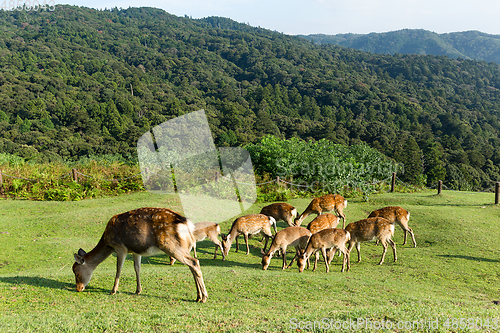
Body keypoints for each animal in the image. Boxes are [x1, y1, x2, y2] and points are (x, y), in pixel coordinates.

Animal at [71, 206, 208, 302]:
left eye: (76, 273)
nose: (78, 288)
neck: (107, 242)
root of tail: (187, 224)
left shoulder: (121, 248)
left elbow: (118, 269)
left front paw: (113, 290)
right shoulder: (136, 251)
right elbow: (137, 268)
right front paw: (138, 290)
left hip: (170, 245)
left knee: (194, 262)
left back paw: (204, 297)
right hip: (184, 246)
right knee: (192, 265)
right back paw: (198, 297)